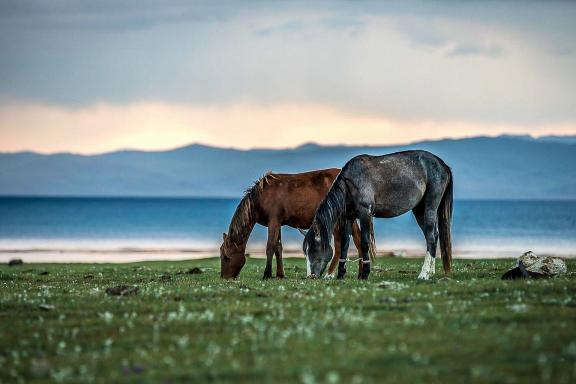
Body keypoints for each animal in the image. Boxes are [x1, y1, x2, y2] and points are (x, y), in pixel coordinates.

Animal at [218, 169, 366, 280]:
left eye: (226, 257)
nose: (224, 277)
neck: (261, 197)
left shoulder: (273, 221)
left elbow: (270, 247)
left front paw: (267, 274)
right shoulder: (278, 223)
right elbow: (278, 247)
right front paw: (280, 274)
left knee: (352, 242)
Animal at [304, 150, 452, 280]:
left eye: (314, 248)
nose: (311, 276)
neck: (351, 182)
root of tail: (442, 164)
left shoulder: (365, 214)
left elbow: (365, 242)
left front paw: (365, 274)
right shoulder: (348, 217)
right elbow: (345, 244)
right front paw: (341, 275)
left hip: (429, 207)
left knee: (431, 238)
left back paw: (424, 274)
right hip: (419, 210)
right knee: (432, 236)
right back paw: (431, 272)